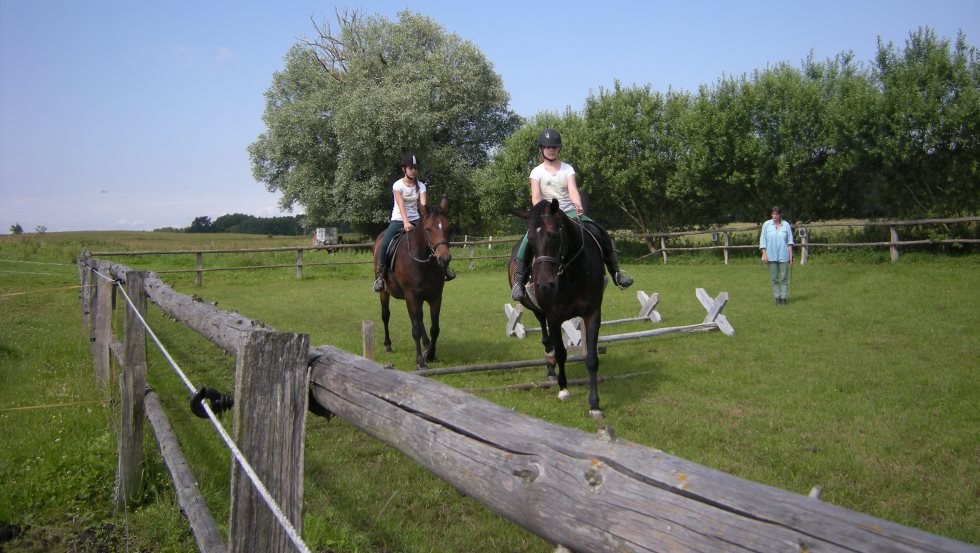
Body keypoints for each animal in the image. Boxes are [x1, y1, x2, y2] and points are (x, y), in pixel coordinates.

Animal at [374, 196, 454, 368]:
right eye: (428, 229)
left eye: (447, 227)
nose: (444, 258)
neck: (422, 261)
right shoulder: (411, 296)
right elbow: (415, 328)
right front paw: (420, 360)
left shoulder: (435, 297)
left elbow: (434, 328)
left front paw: (430, 354)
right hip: (385, 293)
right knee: (386, 315)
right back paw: (388, 345)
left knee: (420, 319)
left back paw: (426, 344)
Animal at [510, 196, 608, 416]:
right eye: (531, 240)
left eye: (554, 235)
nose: (545, 284)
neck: (571, 272)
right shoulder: (553, 316)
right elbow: (561, 353)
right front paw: (563, 390)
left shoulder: (592, 313)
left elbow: (591, 358)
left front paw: (595, 404)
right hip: (537, 310)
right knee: (547, 341)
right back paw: (550, 368)